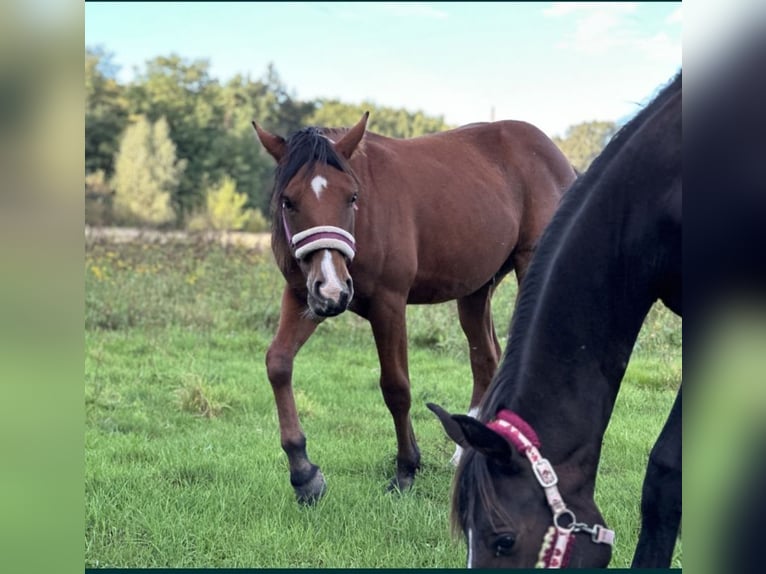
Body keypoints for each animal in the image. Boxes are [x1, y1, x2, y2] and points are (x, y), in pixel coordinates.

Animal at [252, 115, 576, 506]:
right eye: (288, 201)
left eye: (352, 196)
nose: (331, 286)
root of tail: (557, 156)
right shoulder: (304, 296)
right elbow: (278, 364)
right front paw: (303, 473)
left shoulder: (388, 303)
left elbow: (396, 386)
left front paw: (406, 468)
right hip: (475, 291)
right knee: (485, 359)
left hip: (530, 265)